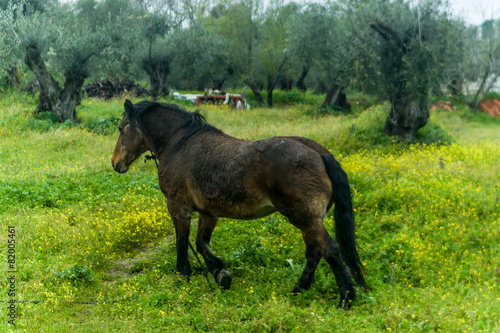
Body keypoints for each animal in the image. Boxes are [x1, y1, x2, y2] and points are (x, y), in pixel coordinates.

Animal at [111, 99, 368, 308]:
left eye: (121, 128)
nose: (115, 163)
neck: (179, 144)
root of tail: (320, 153)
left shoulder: (177, 207)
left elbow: (182, 243)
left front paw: (183, 274)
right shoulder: (208, 212)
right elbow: (201, 243)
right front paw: (219, 272)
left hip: (304, 218)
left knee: (329, 250)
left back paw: (345, 297)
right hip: (309, 221)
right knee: (314, 252)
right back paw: (298, 290)